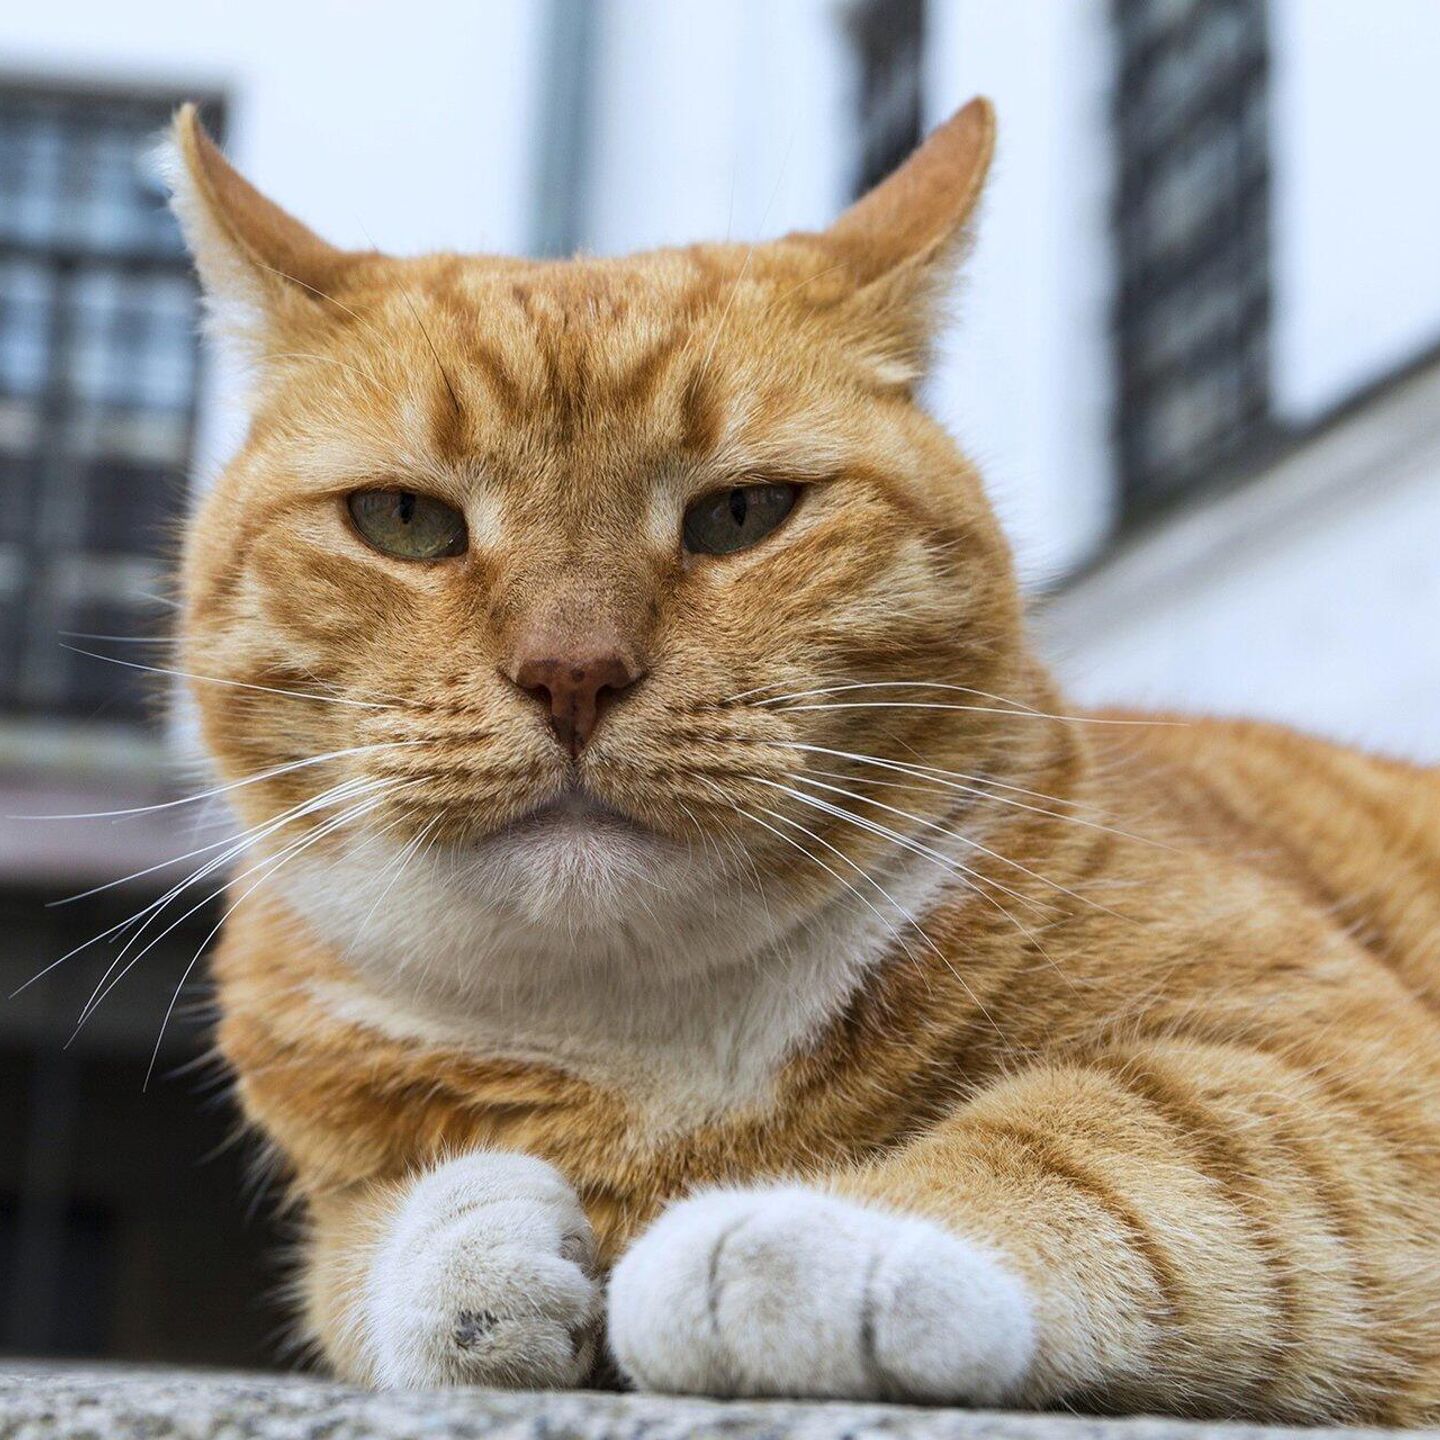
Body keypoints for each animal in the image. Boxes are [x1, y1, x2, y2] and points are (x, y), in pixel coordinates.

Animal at [165, 98, 1440, 1416]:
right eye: (404, 521)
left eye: (742, 514)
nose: (573, 672)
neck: (643, 1045)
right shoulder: (341, 1194)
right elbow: (366, 1252)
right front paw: (472, 1244)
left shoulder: (1336, 1062)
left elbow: (1112, 1142)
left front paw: (780, 1246)